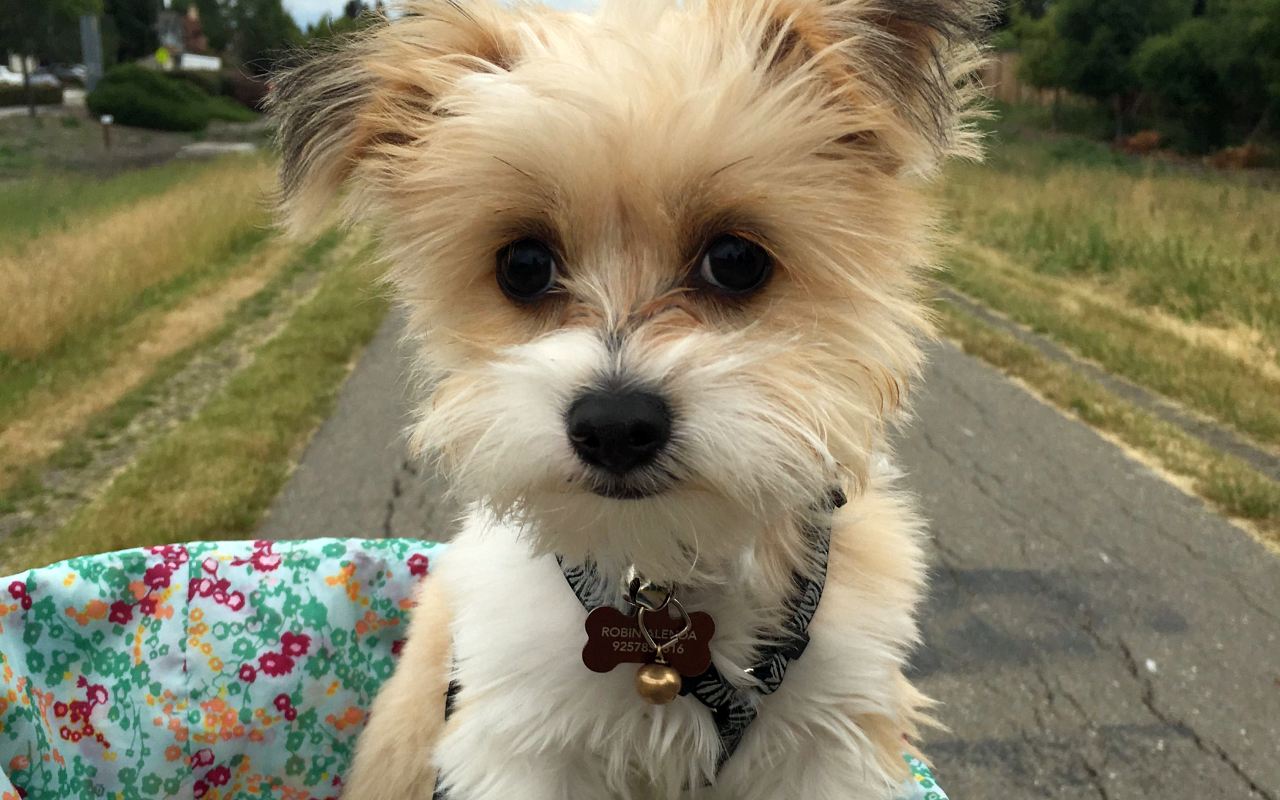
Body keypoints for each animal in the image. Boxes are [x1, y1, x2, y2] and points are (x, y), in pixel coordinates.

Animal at [270, 3, 988, 793]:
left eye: (736, 259)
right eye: (523, 265)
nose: (614, 426)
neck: (664, 592)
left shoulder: (832, 737)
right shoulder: (522, 737)